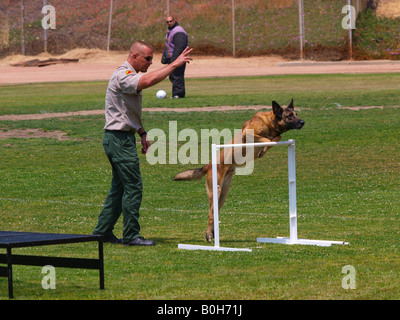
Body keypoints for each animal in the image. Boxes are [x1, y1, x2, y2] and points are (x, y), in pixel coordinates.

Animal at [173, 99, 304, 241]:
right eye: (289, 116)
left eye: (296, 114)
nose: (303, 122)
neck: (271, 122)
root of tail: (209, 165)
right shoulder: (248, 133)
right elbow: (267, 139)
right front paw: (263, 148)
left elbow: (276, 138)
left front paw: (264, 149)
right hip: (215, 192)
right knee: (210, 214)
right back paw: (208, 235)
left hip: (223, 195)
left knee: (215, 213)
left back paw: (212, 233)